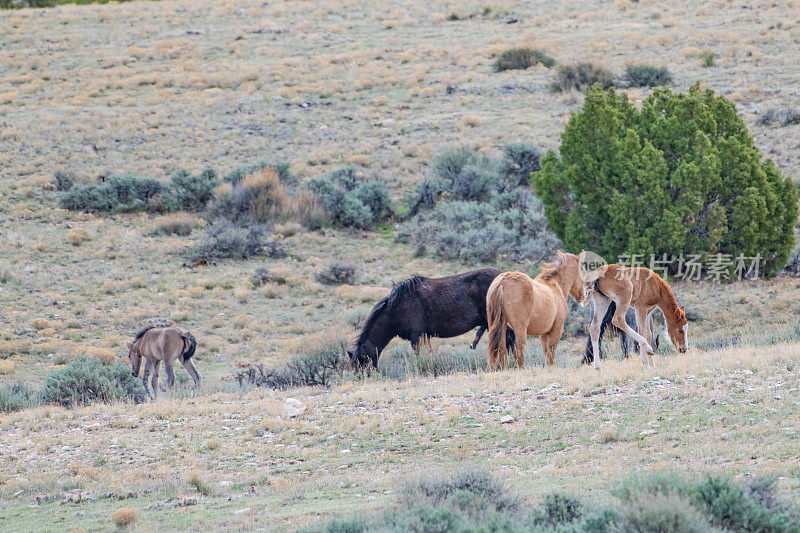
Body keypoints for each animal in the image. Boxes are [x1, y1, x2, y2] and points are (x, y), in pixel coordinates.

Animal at [348, 270, 512, 370]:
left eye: (361, 364)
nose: (361, 380)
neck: (396, 309)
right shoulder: (424, 336)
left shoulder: (416, 336)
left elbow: (419, 356)